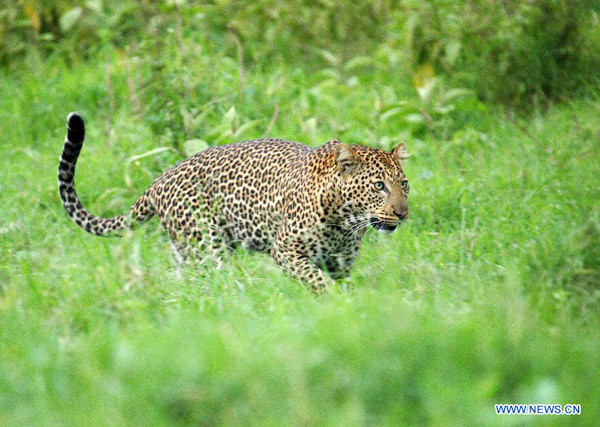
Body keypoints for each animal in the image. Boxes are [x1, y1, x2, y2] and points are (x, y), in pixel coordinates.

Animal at [58, 113, 410, 294]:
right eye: (379, 186)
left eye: (403, 184)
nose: (403, 214)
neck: (346, 222)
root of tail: (159, 180)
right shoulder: (285, 250)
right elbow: (316, 280)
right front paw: (332, 302)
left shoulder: (341, 262)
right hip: (206, 244)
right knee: (214, 280)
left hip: (186, 250)